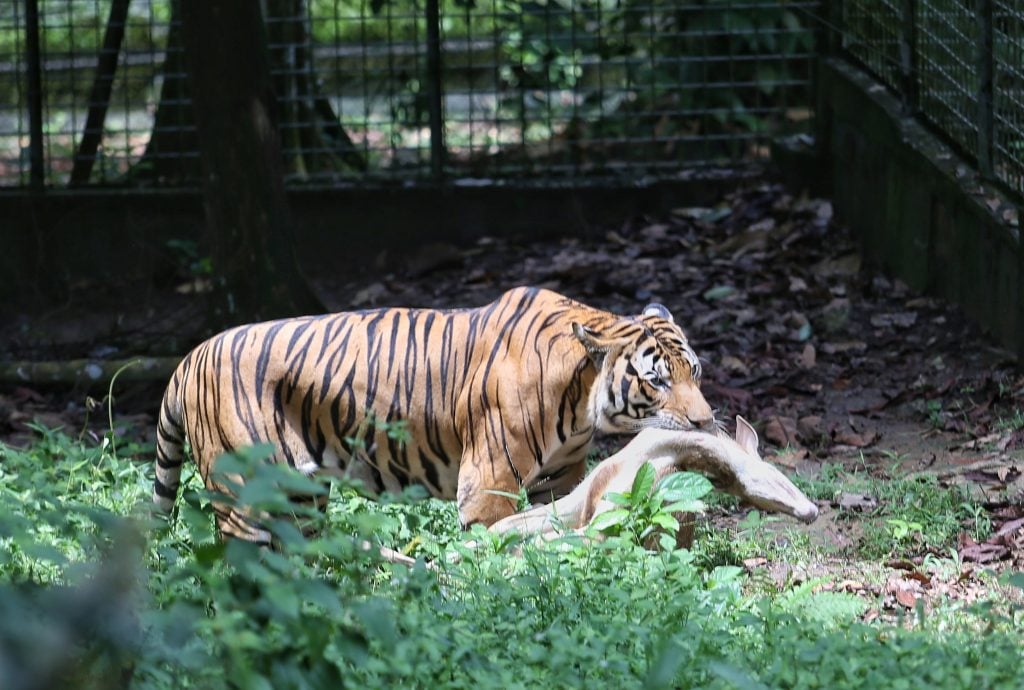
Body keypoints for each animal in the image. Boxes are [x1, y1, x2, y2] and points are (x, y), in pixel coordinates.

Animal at [153, 284, 712, 536]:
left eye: (696, 372)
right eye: (657, 380)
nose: (705, 422)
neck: (580, 403)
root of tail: (190, 357)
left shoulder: (560, 478)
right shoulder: (487, 485)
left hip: (300, 493)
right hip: (247, 493)